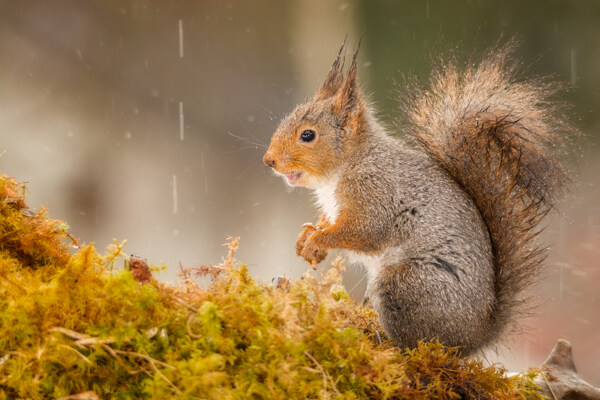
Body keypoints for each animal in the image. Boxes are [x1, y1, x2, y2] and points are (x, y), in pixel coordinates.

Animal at [262, 40, 572, 354]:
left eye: (308, 135)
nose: (268, 161)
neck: (348, 165)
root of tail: (477, 336)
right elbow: (329, 221)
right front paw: (307, 237)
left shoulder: (375, 193)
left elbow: (363, 231)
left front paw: (319, 239)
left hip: (404, 284)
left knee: (418, 342)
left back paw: (386, 341)